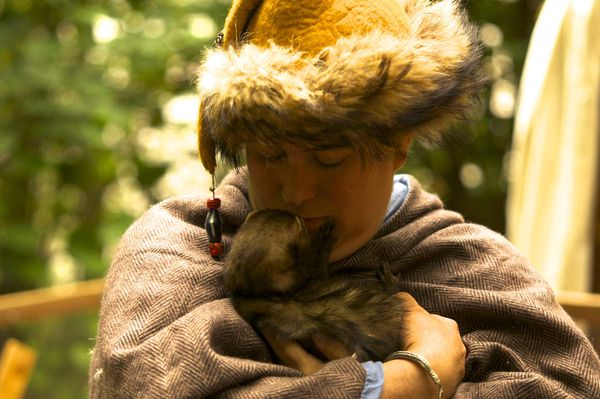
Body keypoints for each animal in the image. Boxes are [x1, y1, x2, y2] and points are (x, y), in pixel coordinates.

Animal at [223, 209, 406, 362]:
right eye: (302, 227)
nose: (296, 213)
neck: (256, 294)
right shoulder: (312, 275)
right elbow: (318, 262)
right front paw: (325, 234)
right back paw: (387, 279)